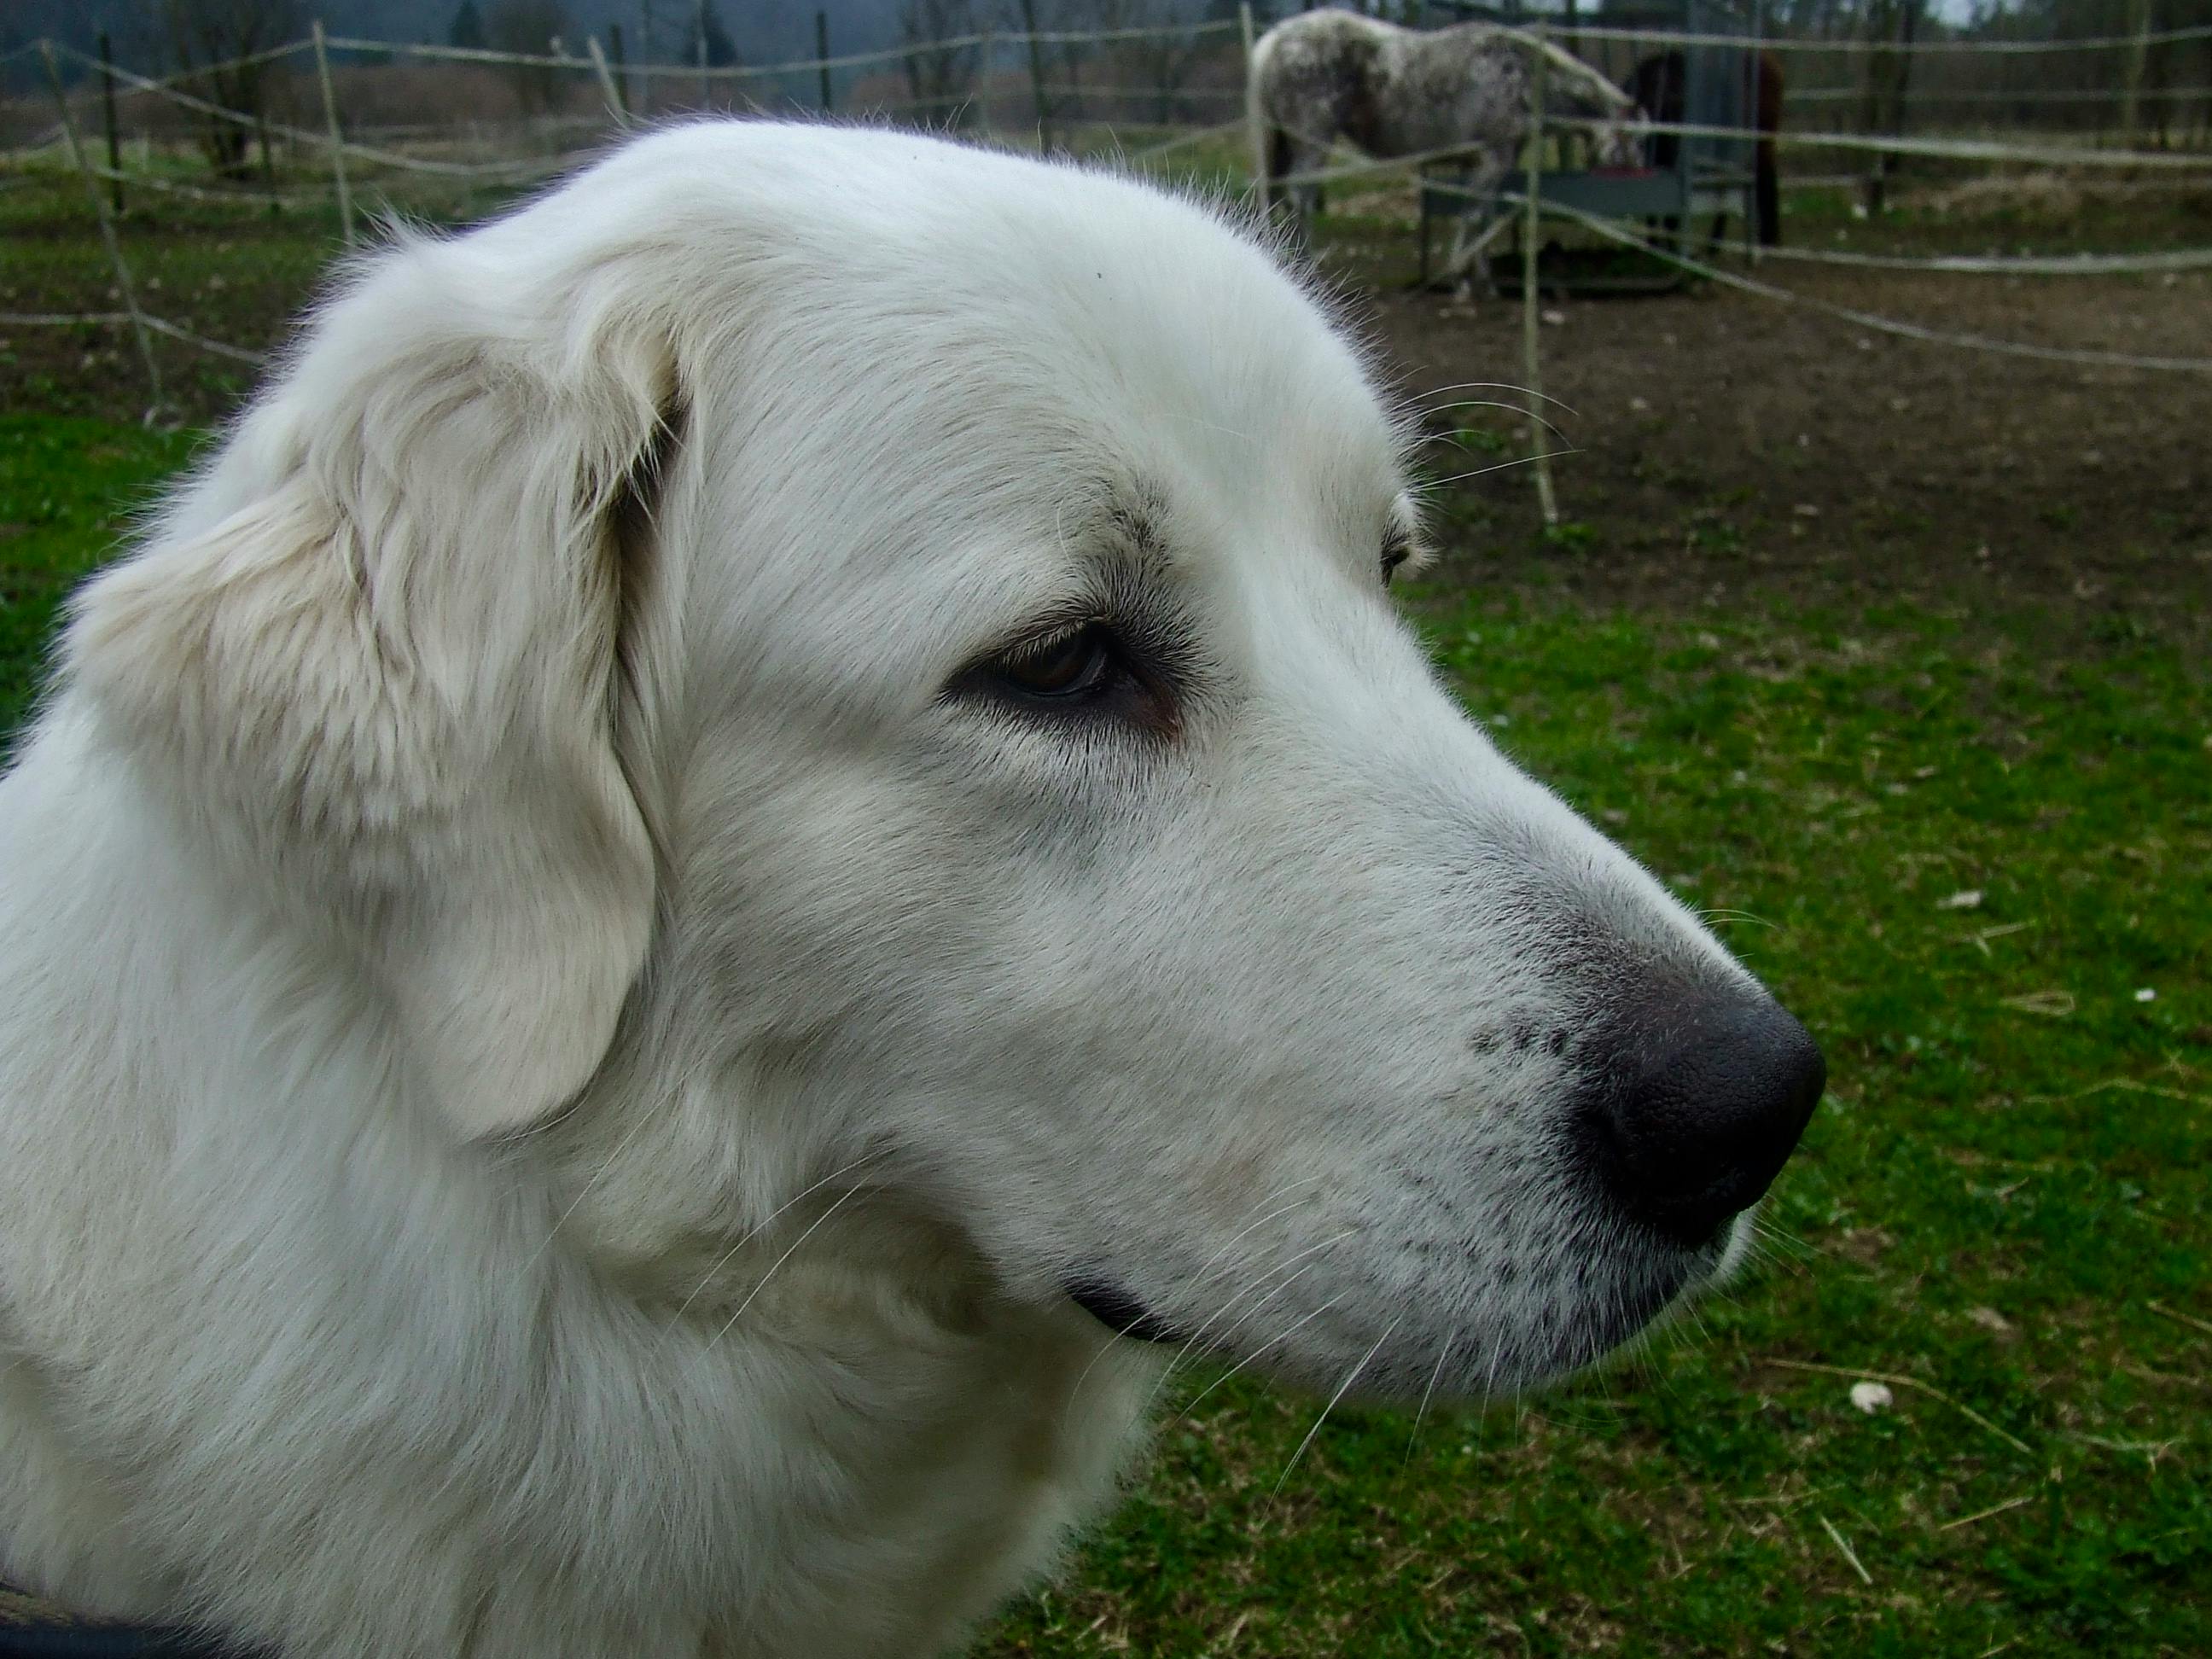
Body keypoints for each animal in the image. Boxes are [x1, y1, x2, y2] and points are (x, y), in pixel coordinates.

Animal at [1248, 8, 1646, 288]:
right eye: (1636, 138)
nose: (1638, 175)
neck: (1523, 77)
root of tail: (1273, 42)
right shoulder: (1493, 159)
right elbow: (1472, 217)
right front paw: (1460, 279)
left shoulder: (1484, 165)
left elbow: (1483, 218)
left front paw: (1482, 279)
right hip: (1311, 142)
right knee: (1299, 198)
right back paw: (1306, 268)